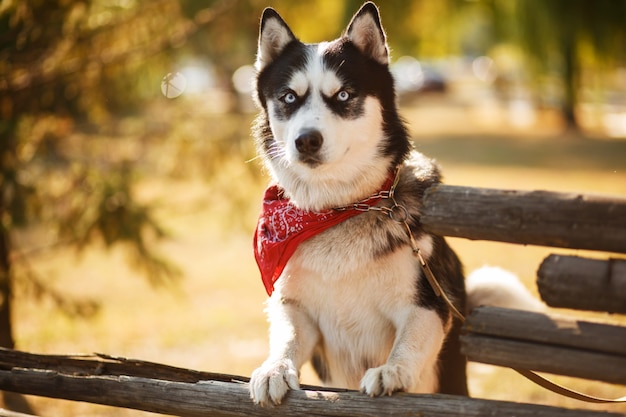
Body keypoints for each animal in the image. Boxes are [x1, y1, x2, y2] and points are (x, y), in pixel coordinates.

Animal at [247, 1, 532, 404]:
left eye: (344, 95)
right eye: (289, 97)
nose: (306, 140)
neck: (340, 210)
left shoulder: (426, 303)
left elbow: (408, 343)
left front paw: (392, 371)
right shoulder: (295, 308)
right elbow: (287, 339)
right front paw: (274, 369)